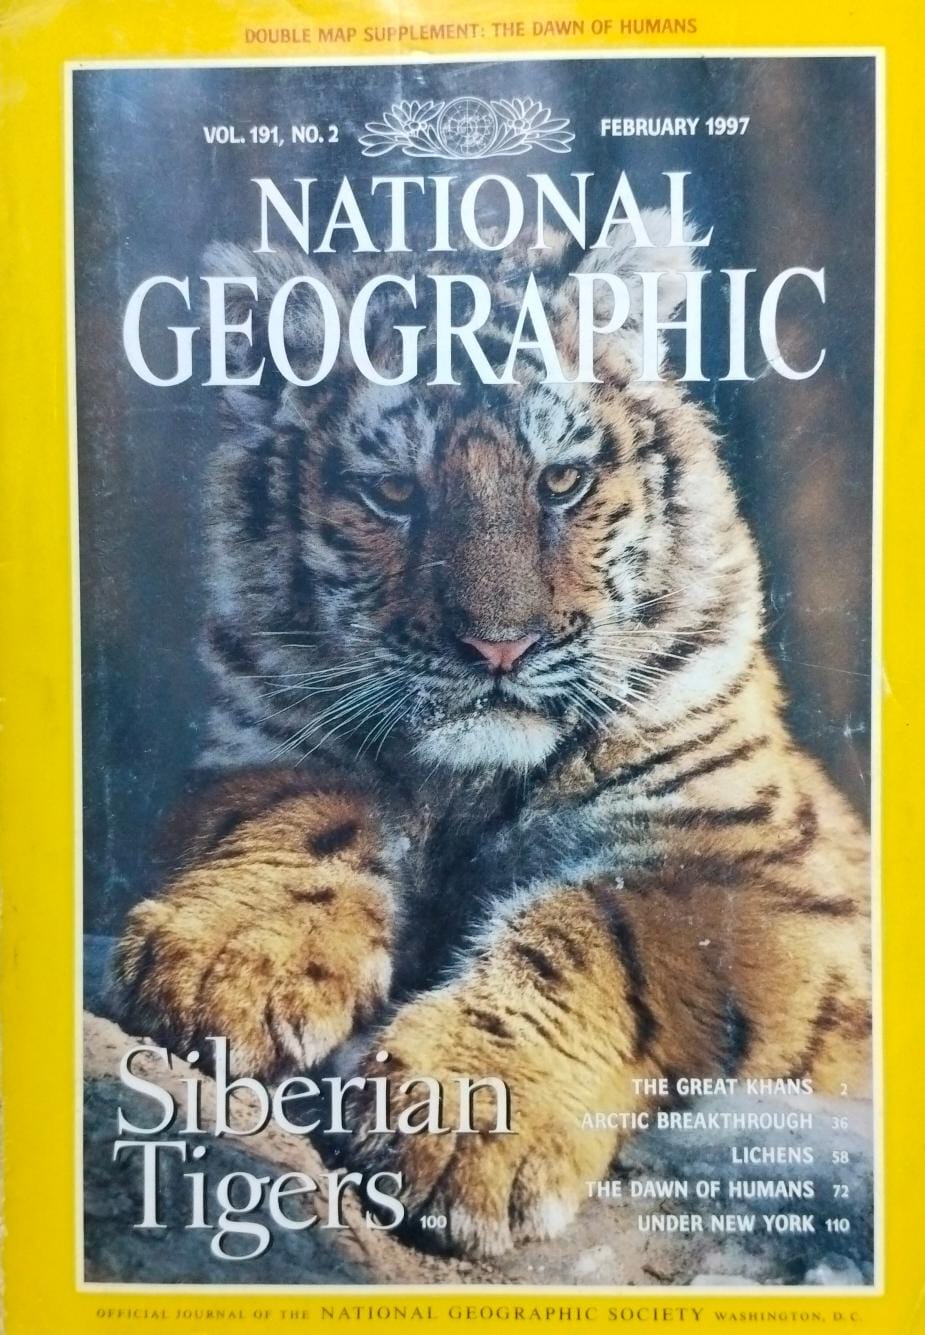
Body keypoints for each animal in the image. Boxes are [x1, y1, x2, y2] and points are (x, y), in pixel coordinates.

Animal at [113, 210, 871, 1260]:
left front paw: (468, 1115)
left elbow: (604, 926)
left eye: (561, 480)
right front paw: (222, 960)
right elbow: (301, 815)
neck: (473, 783)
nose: (498, 645)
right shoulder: (265, 740)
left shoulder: (759, 867)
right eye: (393, 492)